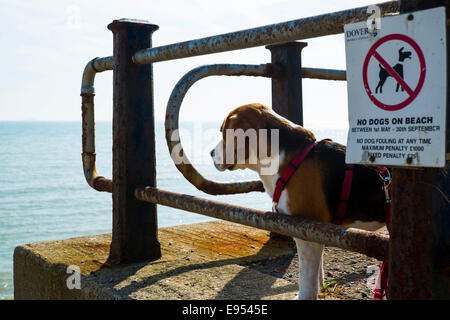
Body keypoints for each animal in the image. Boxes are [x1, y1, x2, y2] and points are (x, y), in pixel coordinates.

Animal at [211, 103, 386, 300]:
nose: (210, 153)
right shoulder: (315, 231)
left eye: (223, 133)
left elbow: (306, 279)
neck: (283, 158)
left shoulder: (305, 232)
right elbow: (317, 273)